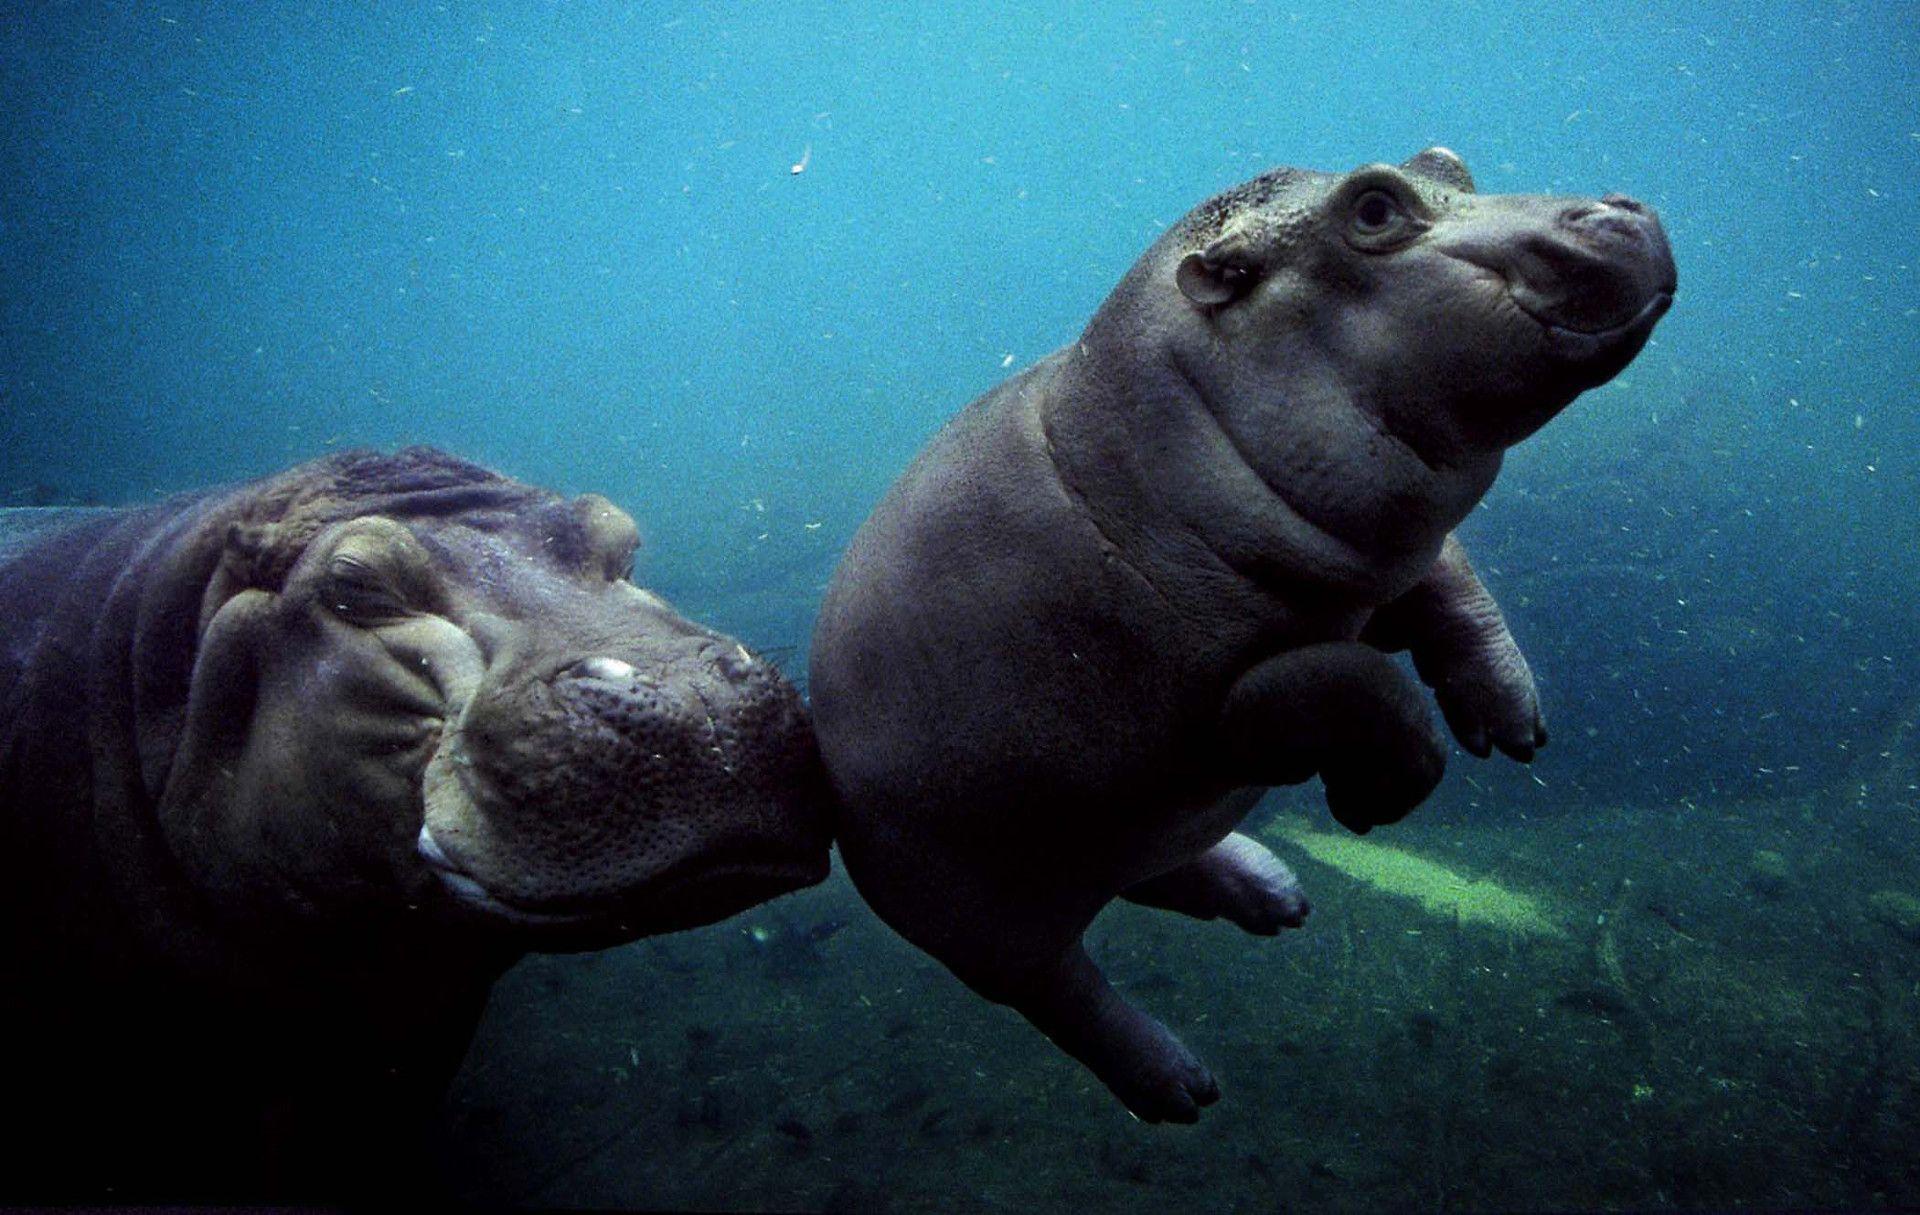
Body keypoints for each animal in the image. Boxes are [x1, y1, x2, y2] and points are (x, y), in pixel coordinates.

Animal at [810, 148, 1675, 1122]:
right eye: (1374, 207)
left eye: (1446, 163)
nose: (1619, 209)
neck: (1136, 428)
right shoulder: (1217, 713)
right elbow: (1359, 683)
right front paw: (1376, 802)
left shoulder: (1386, 550)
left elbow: (1455, 585)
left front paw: (1514, 723)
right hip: (981, 923)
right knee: (1065, 992)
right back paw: (1180, 1087)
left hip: (1108, 840)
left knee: (1155, 868)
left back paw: (1274, 896)